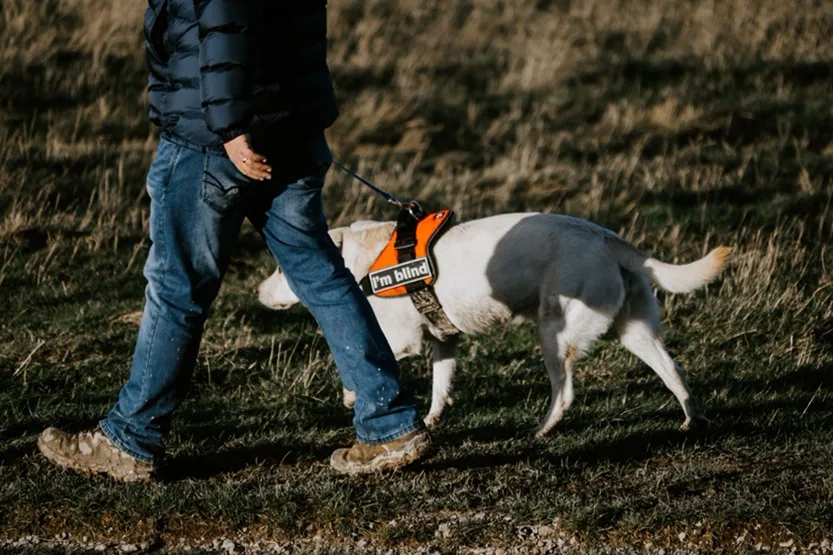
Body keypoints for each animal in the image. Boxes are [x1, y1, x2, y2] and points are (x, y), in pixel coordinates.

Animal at [255, 215, 728, 436]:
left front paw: (353, 395)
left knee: (565, 391)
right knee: (674, 372)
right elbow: (440, 387)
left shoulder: (400, 339)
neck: (361, 261)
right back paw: (692, 420)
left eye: (280, 268)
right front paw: (431, 420)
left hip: (554, 332)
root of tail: (607, 238)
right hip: (634, 331)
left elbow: (357, 361)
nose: (257, 292)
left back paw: (542, 429)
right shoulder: (443, 341)